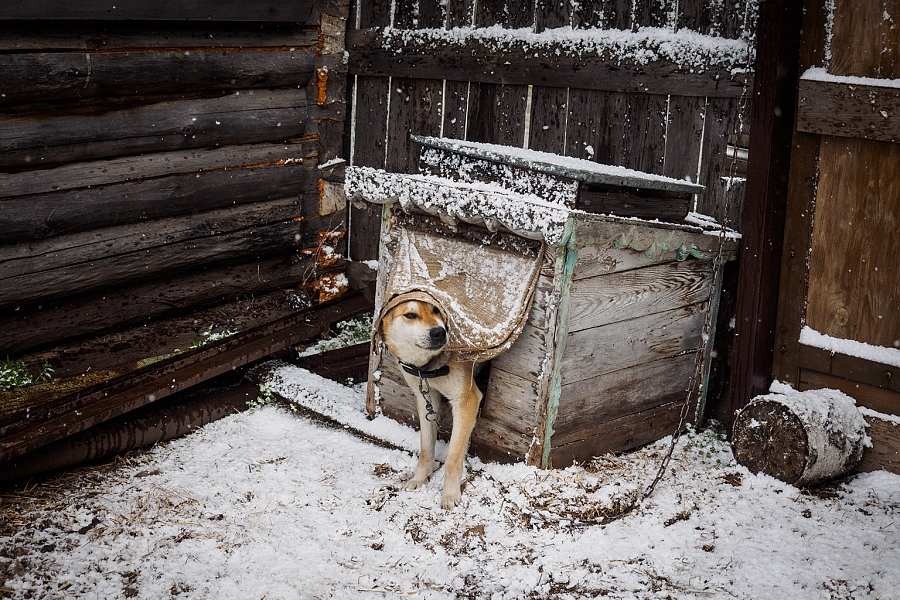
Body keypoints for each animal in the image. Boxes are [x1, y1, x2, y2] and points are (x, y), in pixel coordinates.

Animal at [378, 298, 482, 508]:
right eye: (410, 315)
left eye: (437, 310)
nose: (439, 332)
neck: (428, 367)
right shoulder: (425, 398)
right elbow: (426, 447)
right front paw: (420, 478)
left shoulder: (467, 399)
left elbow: (453, 457)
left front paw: (450, 494)